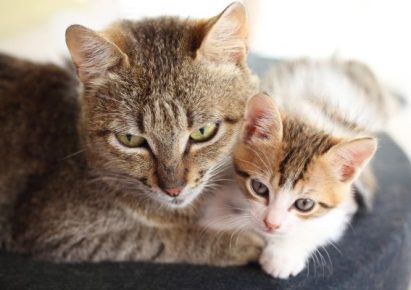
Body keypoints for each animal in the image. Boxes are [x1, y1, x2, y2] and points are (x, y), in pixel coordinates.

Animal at [0, 2, 264, 266]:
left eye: (202, 132)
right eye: (130, 139)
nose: (173, 189)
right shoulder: (54, 231)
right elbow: (154, 239)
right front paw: (233, 243)